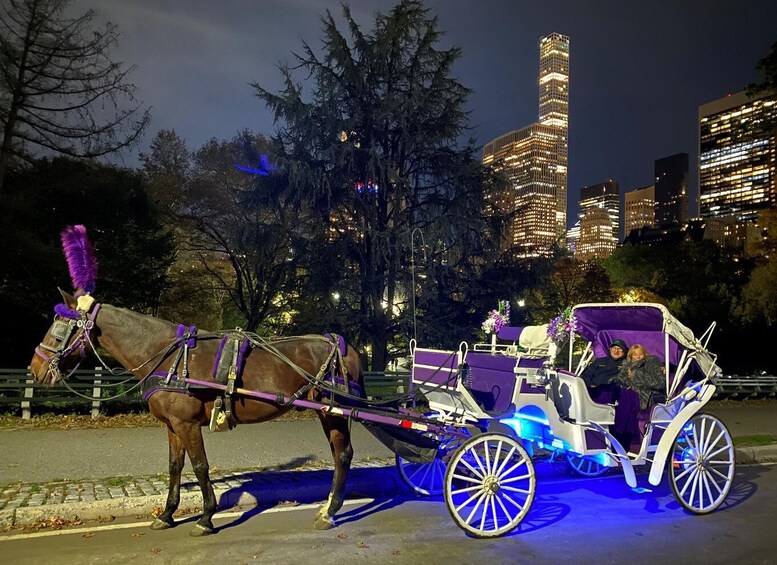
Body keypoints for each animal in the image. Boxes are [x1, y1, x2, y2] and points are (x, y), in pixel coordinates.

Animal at [31, 288, 366, 536]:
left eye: (60, 328)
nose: (35, 369)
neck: (169, 356)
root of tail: (344, 345)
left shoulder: (187, 424)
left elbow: (201, 466)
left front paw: (206, 517)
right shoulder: (172, 425)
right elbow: (175, 467)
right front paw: (167, 514)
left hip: (332, 412)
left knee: (343, 454)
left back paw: (330, 511)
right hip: (328, 412)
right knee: (340, 453)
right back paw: (328, 507)